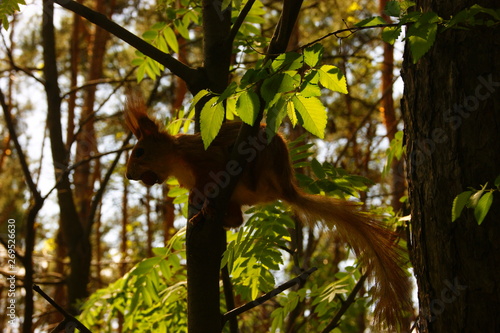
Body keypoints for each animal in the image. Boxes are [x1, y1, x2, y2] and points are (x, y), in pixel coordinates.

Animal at [124, 95, 410, 326]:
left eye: (139, 152)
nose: (128, 175)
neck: (175, 159)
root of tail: (285, 187)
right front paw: (197, 205)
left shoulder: (202, 156)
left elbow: (213, 165)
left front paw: (200, 198)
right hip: (239, 198)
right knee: (236, 218)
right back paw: (210, 214)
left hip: (263, 157)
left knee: (247, 179)